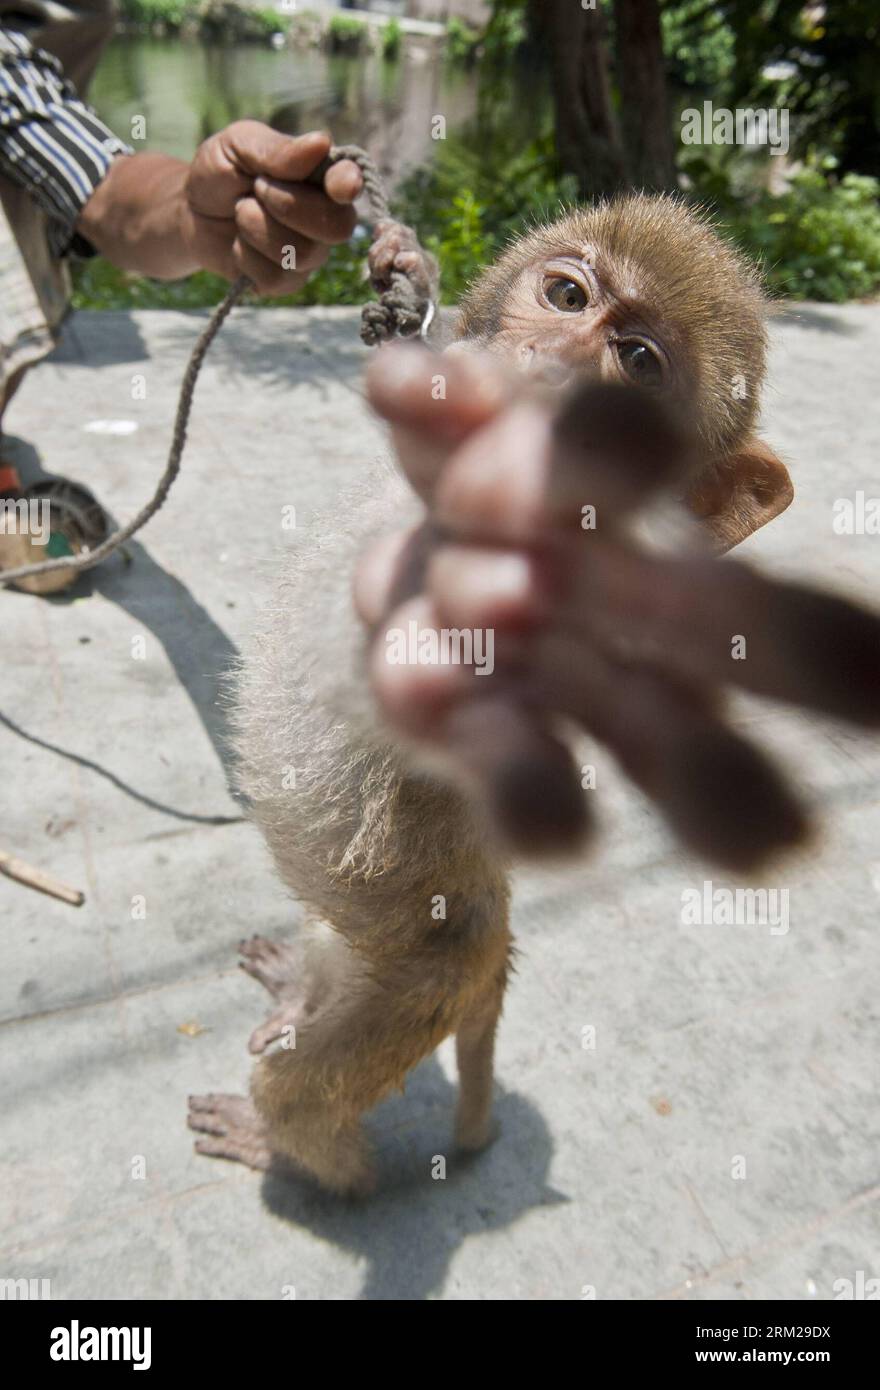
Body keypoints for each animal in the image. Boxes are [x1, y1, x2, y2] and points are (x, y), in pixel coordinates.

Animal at [188, 194, 880, 1196]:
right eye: (567, 296)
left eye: (639, 366)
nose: (549, 366)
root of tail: (496, 950)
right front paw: (413, 286)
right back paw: (298, 984)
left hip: (430, 981)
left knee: (308, 1097)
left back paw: (295, 1154)